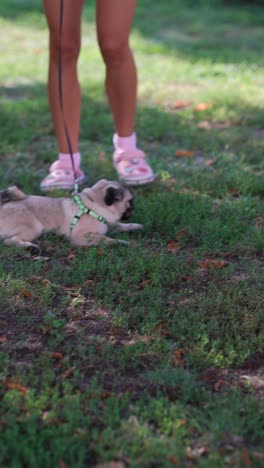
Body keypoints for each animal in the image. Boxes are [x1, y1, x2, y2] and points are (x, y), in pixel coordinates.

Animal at [0, 180, 142, 252]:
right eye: (130, 201)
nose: (134, 207)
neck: (92, 205)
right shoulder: (82, 236)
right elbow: (105, 239)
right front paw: (121, 243)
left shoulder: (107, 225)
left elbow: (120, 225)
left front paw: (135, 226)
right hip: (35, 227)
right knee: (9, 241)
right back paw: (29, 247)